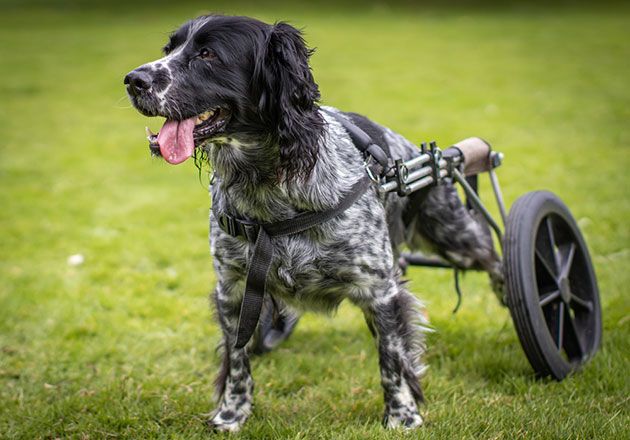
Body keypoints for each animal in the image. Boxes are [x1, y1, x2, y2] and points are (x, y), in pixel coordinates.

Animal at [126, 14, 506, 434]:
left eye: (208, 54)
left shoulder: (380, 290)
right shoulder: (234, 290)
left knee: (495, 258)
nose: (132, 80)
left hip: (454, 232)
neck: (268, 187)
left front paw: (402, 417)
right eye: (169, 49)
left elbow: (392, 359)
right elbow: (238, 359)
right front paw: (231, 415)